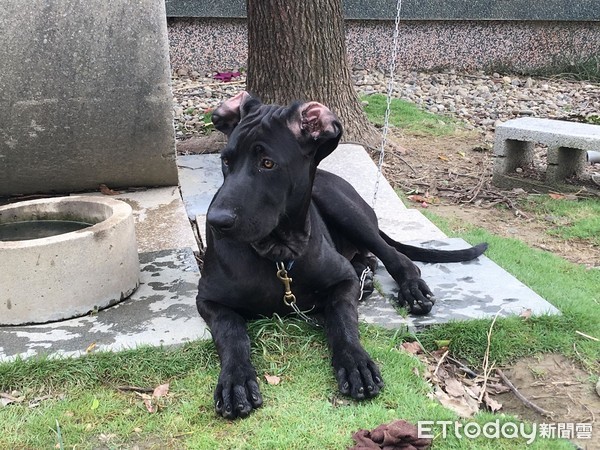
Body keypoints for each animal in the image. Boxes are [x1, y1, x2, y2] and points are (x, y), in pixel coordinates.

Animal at [197, 93, 488, 420]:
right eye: (226, 161)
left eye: (267, 163)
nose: (216, 221)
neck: (279, 255)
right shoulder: (209, 298)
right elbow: (231, 332)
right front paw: (235, 381)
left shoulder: (342, 282)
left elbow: (342, 320)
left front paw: (355, 363)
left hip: (343, 208)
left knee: (395, 256)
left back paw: (410, 289)